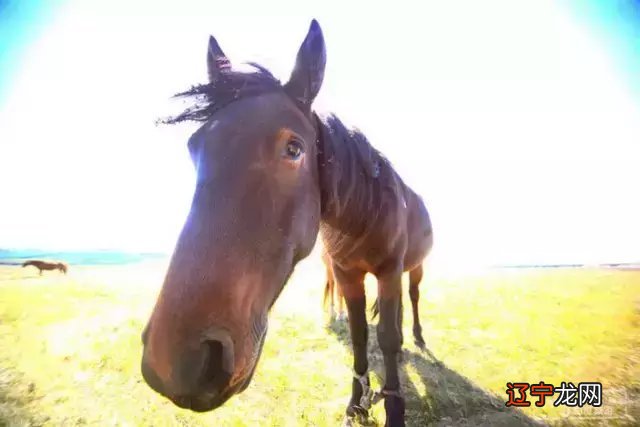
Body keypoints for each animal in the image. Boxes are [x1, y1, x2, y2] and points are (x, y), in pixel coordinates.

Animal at [142, 20, 432, 427]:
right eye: (193, 148)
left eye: (294, 149)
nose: (179, 364)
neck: (364, 214)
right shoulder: (347, 275)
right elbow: (360, 335)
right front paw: (357, 403)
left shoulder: (389, 270)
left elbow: (387, 337)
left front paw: (393, 409)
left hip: (415, 268)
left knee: (414, 299)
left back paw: (417, 337)